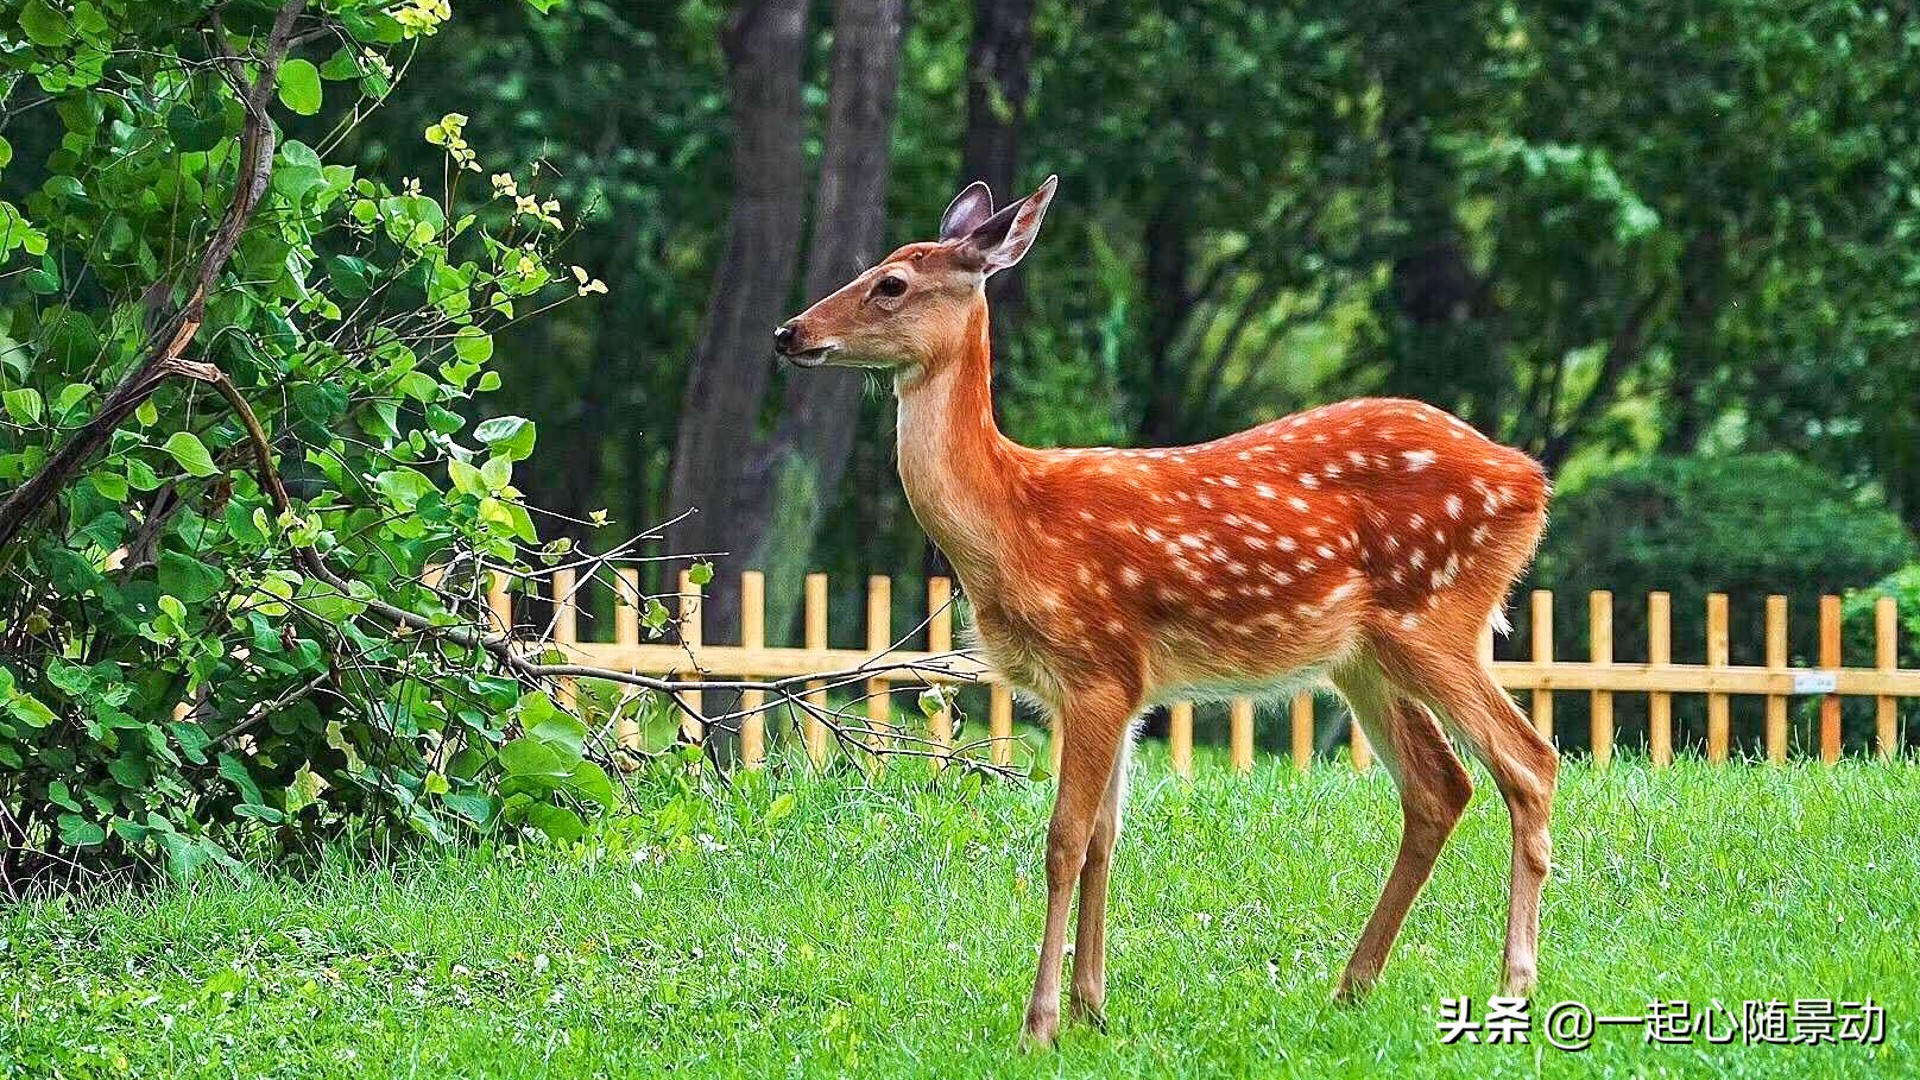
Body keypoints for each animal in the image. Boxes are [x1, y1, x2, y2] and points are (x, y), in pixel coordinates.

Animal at [771, 174, 1551, 1045]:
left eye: (892, 283)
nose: (789, 332)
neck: (1013, 519)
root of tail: (1531, 479)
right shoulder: (1122, 687)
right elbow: (1106, 839)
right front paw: (1091, 1006)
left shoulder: (1097, 669)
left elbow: (1064, 841)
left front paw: (1040, 1021)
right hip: (1364, 657)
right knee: (1439, 786)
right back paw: (1352, 986)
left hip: (1437, 617)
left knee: (1529, 761)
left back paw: (1514, 985)